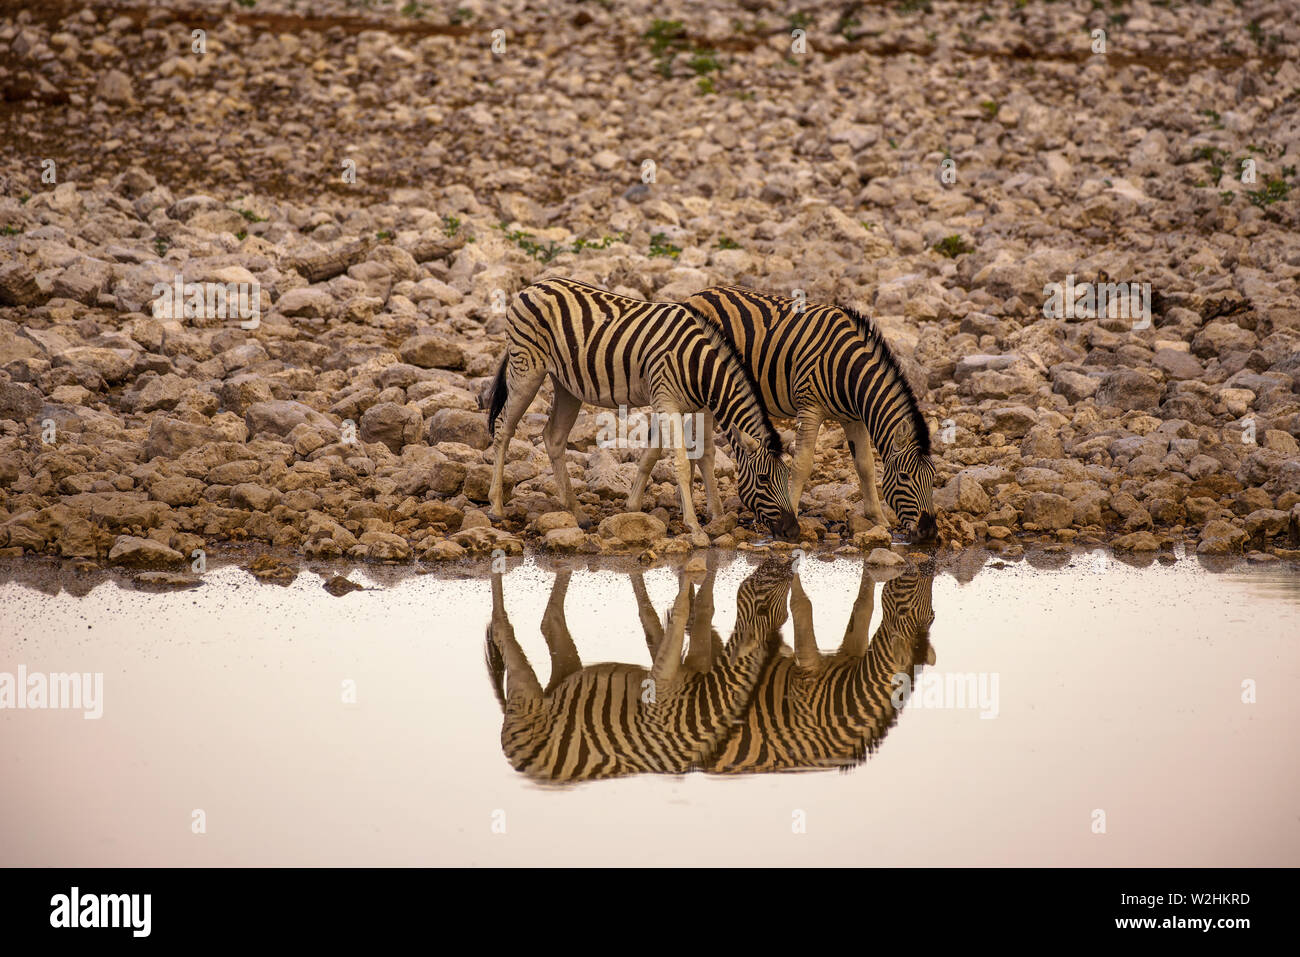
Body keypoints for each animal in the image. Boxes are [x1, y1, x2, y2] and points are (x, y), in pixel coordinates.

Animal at [483, 278, 795, 546]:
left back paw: (577, 514)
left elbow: (656, 454)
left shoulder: (680, 405)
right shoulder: (666, 401)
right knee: (503, 429)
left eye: (786, 477)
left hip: (566, 385)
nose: (793, 530)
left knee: (554, 437)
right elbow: (681, 464)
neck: (700, 366)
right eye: (764, 479)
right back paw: (496, 506)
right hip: (527, 370)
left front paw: (633, 507)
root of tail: (534, 285)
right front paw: (695, 528)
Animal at [483, 561, 785, 785]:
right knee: (501, 630)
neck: (700, 703)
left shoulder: (693, 665)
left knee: (550, 621)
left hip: (562, 677)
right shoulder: (663, 684)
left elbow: (689, 612)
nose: (783, 564)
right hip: (526, 697)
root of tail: (527, 770)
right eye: (763, 608)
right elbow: (682, 610)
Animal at [676, 283, 941, 540]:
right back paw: (715, 512)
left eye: (933, 477)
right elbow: (802, 464)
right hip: (708, 393)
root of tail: (697, 295)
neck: (849, 372)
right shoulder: (810, 408)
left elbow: (865, 466)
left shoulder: (854, 418)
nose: (929, 533)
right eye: (905, 477)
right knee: (703, 449)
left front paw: (879, 520)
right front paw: (792, 513)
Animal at [707, 564, 941, 774]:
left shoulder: (852, 654)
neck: (846, 699)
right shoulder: (806, 678)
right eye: (904, 609)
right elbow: (802, 604)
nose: (928, 563)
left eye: (933, 615)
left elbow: (864, 605)